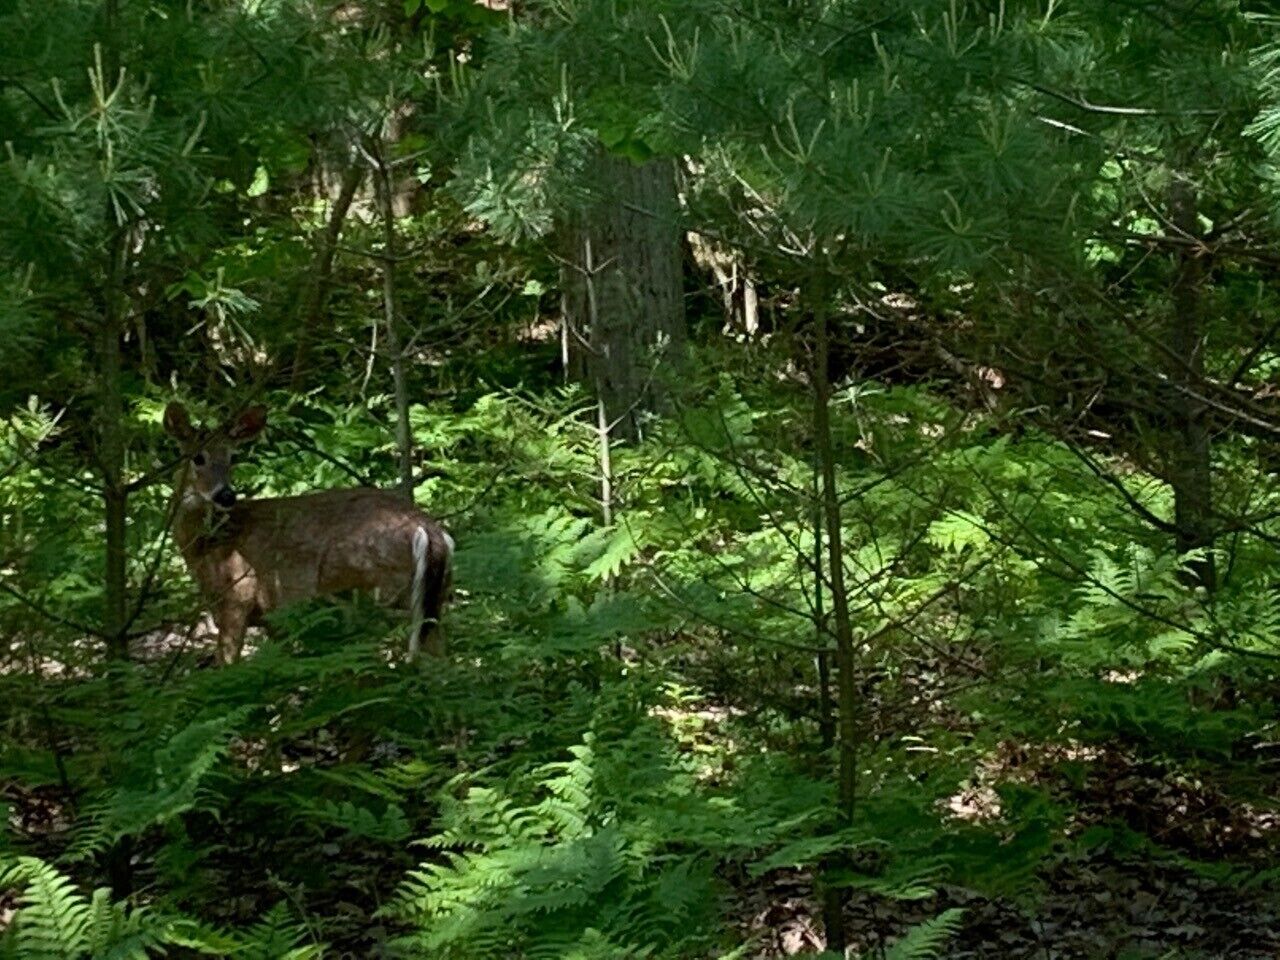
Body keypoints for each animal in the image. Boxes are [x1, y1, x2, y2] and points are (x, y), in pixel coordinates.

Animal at [162, 402, 453, 666]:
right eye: (197, 457)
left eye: (233, 457)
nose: (226, 495)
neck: (207, 545)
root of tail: (429, 530)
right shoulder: (273, 616)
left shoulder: (237, 596)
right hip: (433, 598)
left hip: (376, 589)